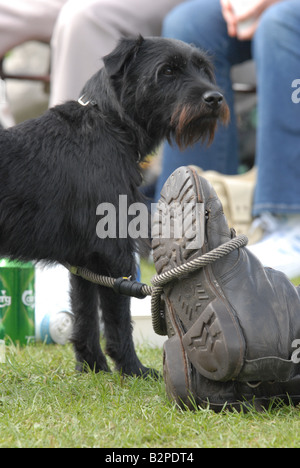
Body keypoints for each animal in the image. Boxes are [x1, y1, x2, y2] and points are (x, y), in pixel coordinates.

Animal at [0, 35, 227, 376]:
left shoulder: (84, 260)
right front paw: (133, 370)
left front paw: (93, 367)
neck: (110, 124)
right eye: (168, 70)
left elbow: (85, 317)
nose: (215, 98)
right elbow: (118, 320)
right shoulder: (114, 253)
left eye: (203, 68)